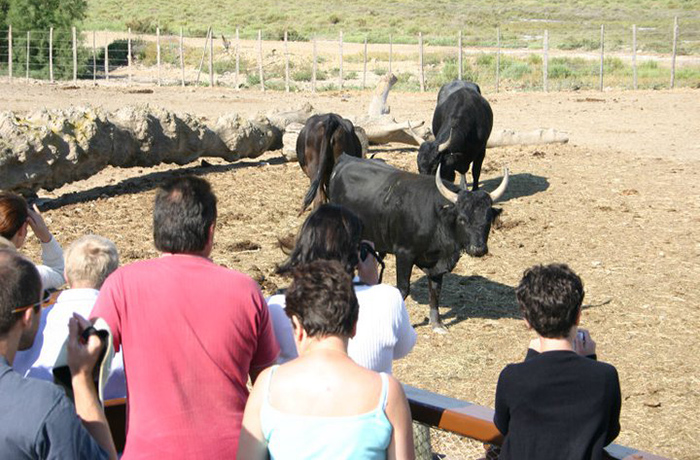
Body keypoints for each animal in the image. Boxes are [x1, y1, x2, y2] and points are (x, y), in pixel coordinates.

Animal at [328, 155, 508, 330]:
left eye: (488, 219)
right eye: (462, 219)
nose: (478, 249)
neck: (437, 218)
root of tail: (346, 159)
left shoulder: (436, 264)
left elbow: (435, 290)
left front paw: (437, 323)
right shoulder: (404, 254)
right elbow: (403, 289)